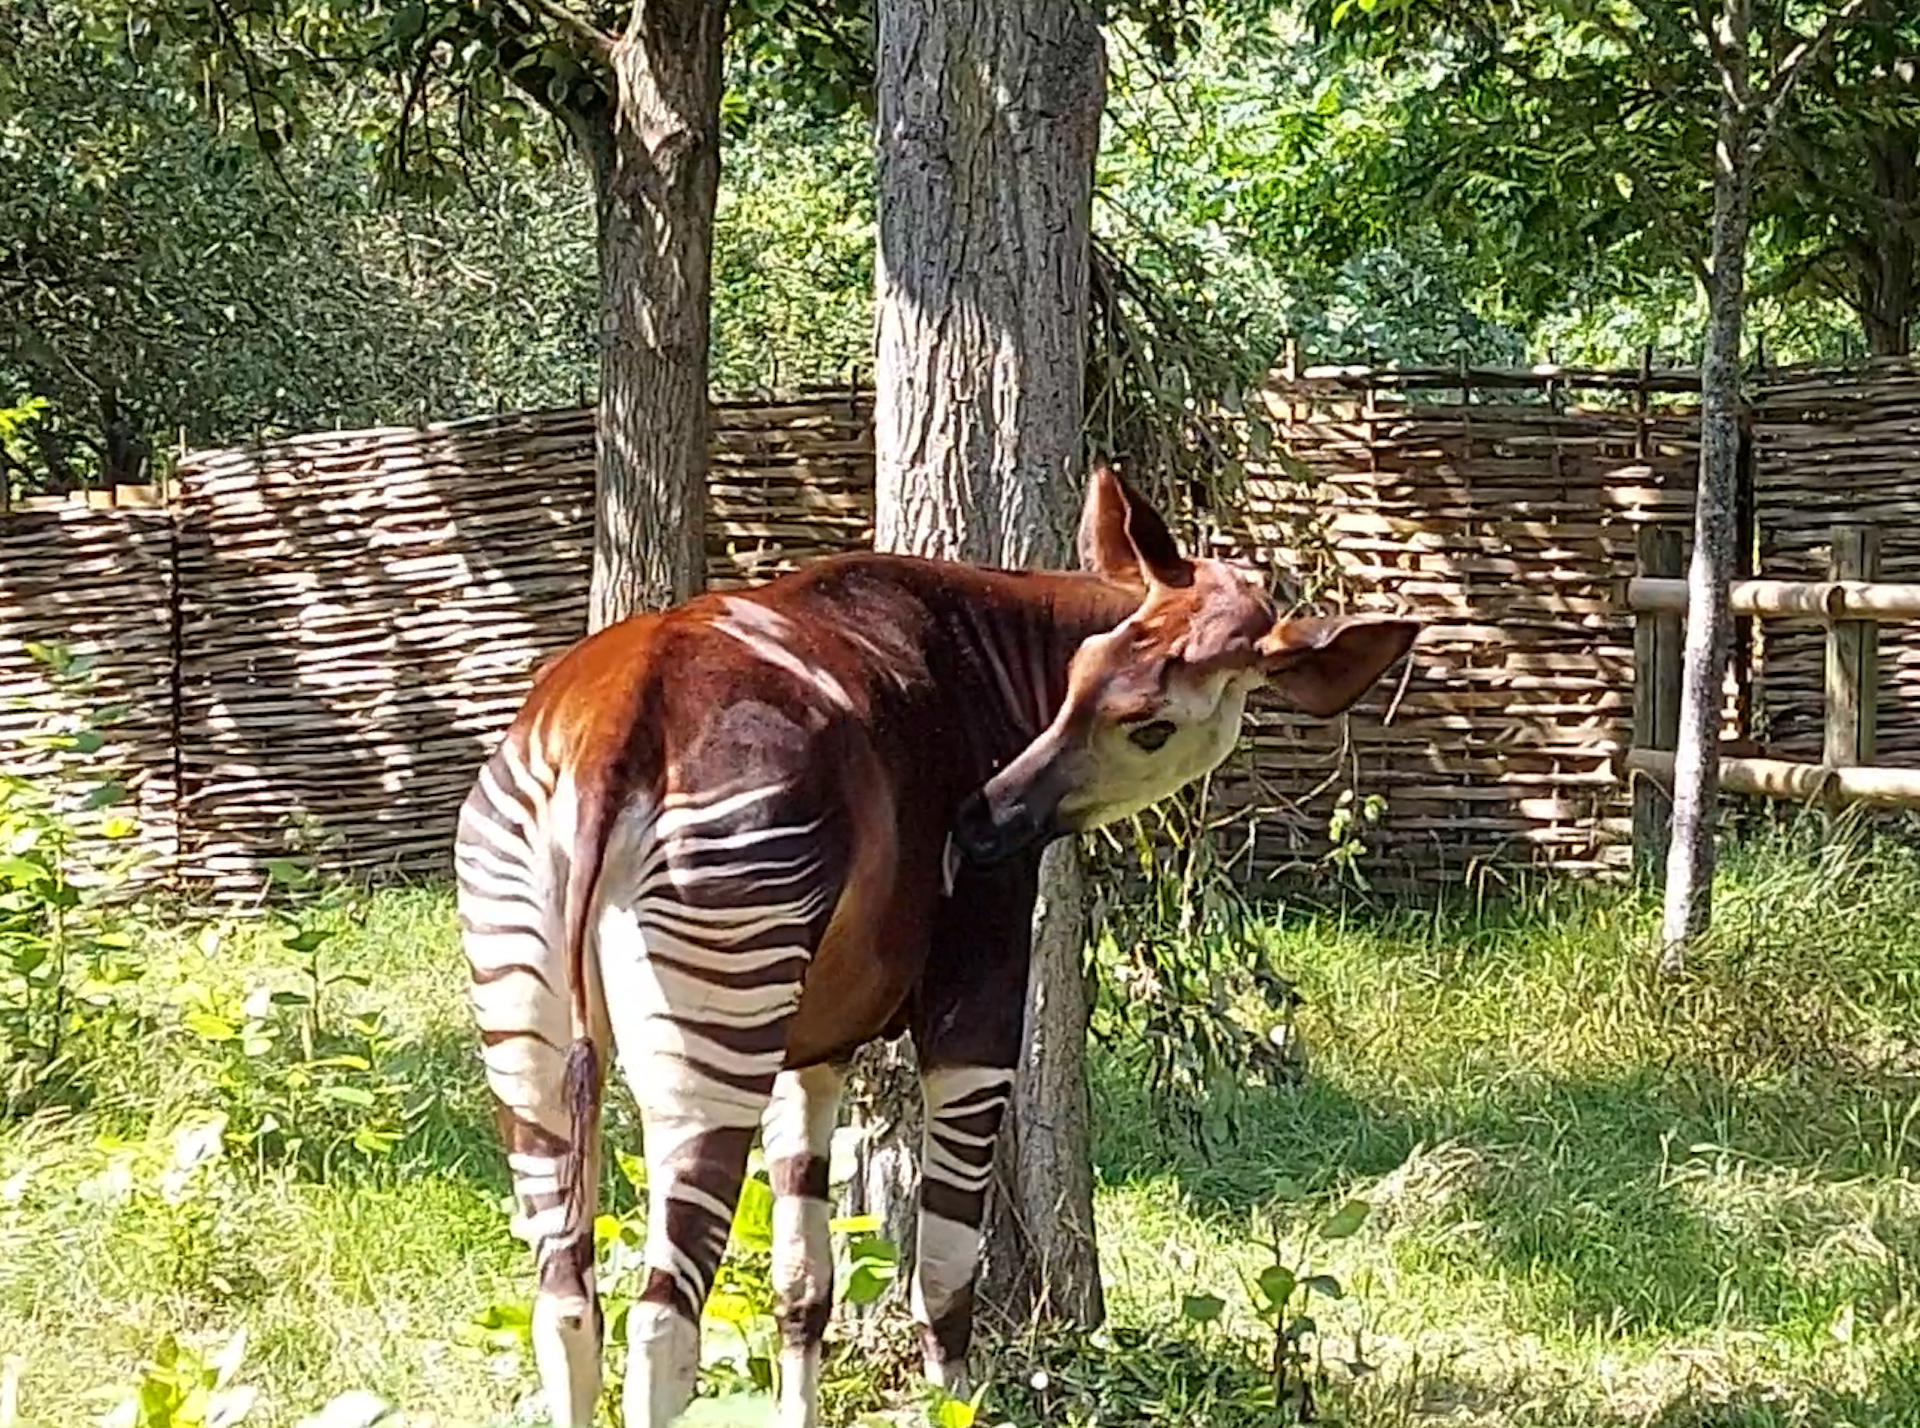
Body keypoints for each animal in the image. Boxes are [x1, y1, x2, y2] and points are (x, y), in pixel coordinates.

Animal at [454, 462, 1419, 1427]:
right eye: (1076, 680)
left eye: (1145, 721)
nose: (980, 821)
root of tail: (612, 731)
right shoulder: (976, 1006)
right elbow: (946, 1282)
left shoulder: (813, 1043)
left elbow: (803, 1287)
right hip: (713, 1016)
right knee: (662, 1325)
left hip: (527, 1011)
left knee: (564, 1303)